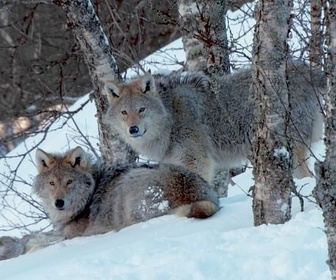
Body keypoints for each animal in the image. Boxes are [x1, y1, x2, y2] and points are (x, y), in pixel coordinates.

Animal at [0, 147, 218, 260]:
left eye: (69, 182)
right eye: (52, 183)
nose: (58, 203)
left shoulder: (71, 235)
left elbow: (36, 239)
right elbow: (32, 236)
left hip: (129, 181)